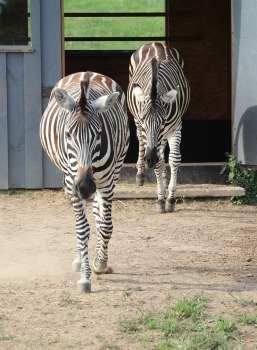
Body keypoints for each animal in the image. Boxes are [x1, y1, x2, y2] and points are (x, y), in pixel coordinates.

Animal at [39, 71, 129, 292]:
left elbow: (106, 225)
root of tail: (86, 73)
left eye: (98, 134)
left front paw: (100, 263)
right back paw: (79, 259)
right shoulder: (73, 182)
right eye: (68, 134)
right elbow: (82, 229)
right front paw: (84, 277)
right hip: (69, 180)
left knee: (97, 212)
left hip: (115, 170)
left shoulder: (106, 182)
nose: (86, 187)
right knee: (81, 221)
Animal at [126, 43, 189, 213]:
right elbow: (158, 163)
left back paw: (166, 178)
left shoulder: (175, 127)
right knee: (142, 142)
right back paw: (140, 174)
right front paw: (161, 199)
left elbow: (174, 158)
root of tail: (154, 43)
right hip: (137, 124)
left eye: (162, 121)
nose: (150, 159)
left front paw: (171, 198)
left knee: (162, 149)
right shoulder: (143, 125)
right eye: (144, 120)